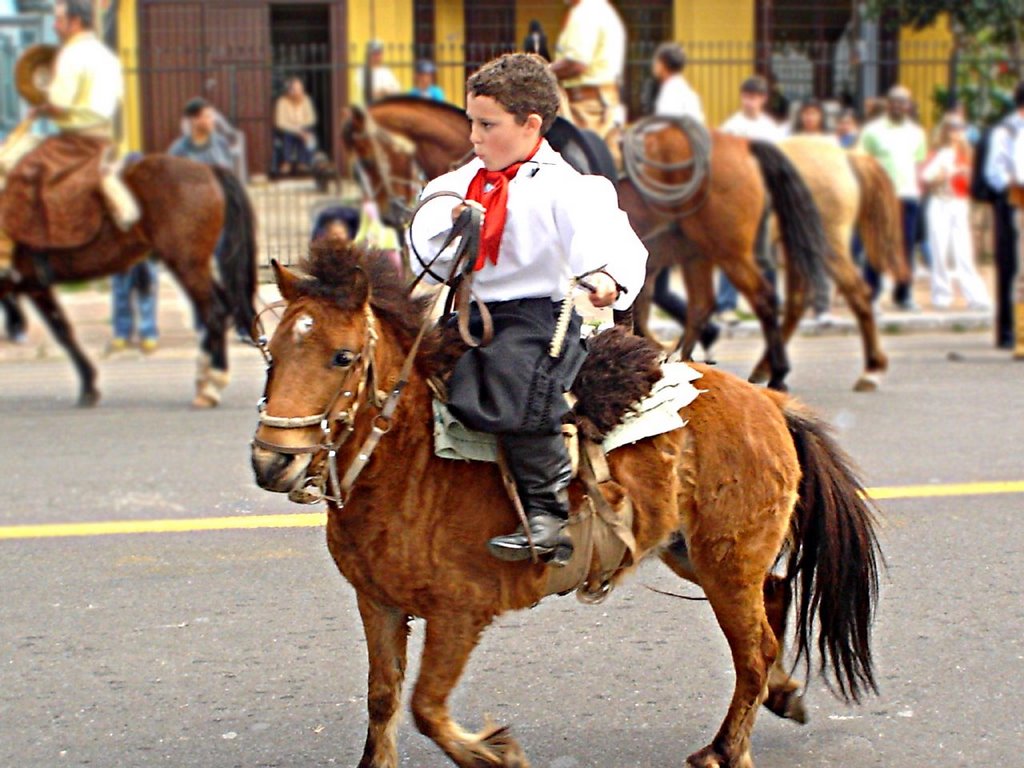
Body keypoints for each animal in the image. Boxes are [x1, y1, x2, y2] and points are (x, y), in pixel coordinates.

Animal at [0, 156, 256, 409]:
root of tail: (207, 168)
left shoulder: (30, 285)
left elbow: (61, 331)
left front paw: (88, 386)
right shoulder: (35, 286)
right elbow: (63, 330)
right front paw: (89, 385)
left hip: (187, 264)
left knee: (215, 313)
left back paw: (212, 384)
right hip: (192, 265)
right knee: (220, 308)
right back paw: (204, 376)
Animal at [247, 243, 880, 768]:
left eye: (343, 357)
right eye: (270, 352)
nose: (271, 463)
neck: (412, 459)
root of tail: (769, 401)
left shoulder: (459, 615)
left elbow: (426, 708)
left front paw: (496, 753)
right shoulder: (377, 603)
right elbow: (384, 701)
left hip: (726, 562)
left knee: (754, 650)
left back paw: (726, 750)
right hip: (695, 554)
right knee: (774, 598)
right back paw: (782, 695)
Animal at [339, 97, 827, 391]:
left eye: (366, 157)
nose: (391, 212)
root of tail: (744, 145)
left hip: (727, 248)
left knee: (762, 299)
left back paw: (774, 373)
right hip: (696, 251)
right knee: (703, 306)